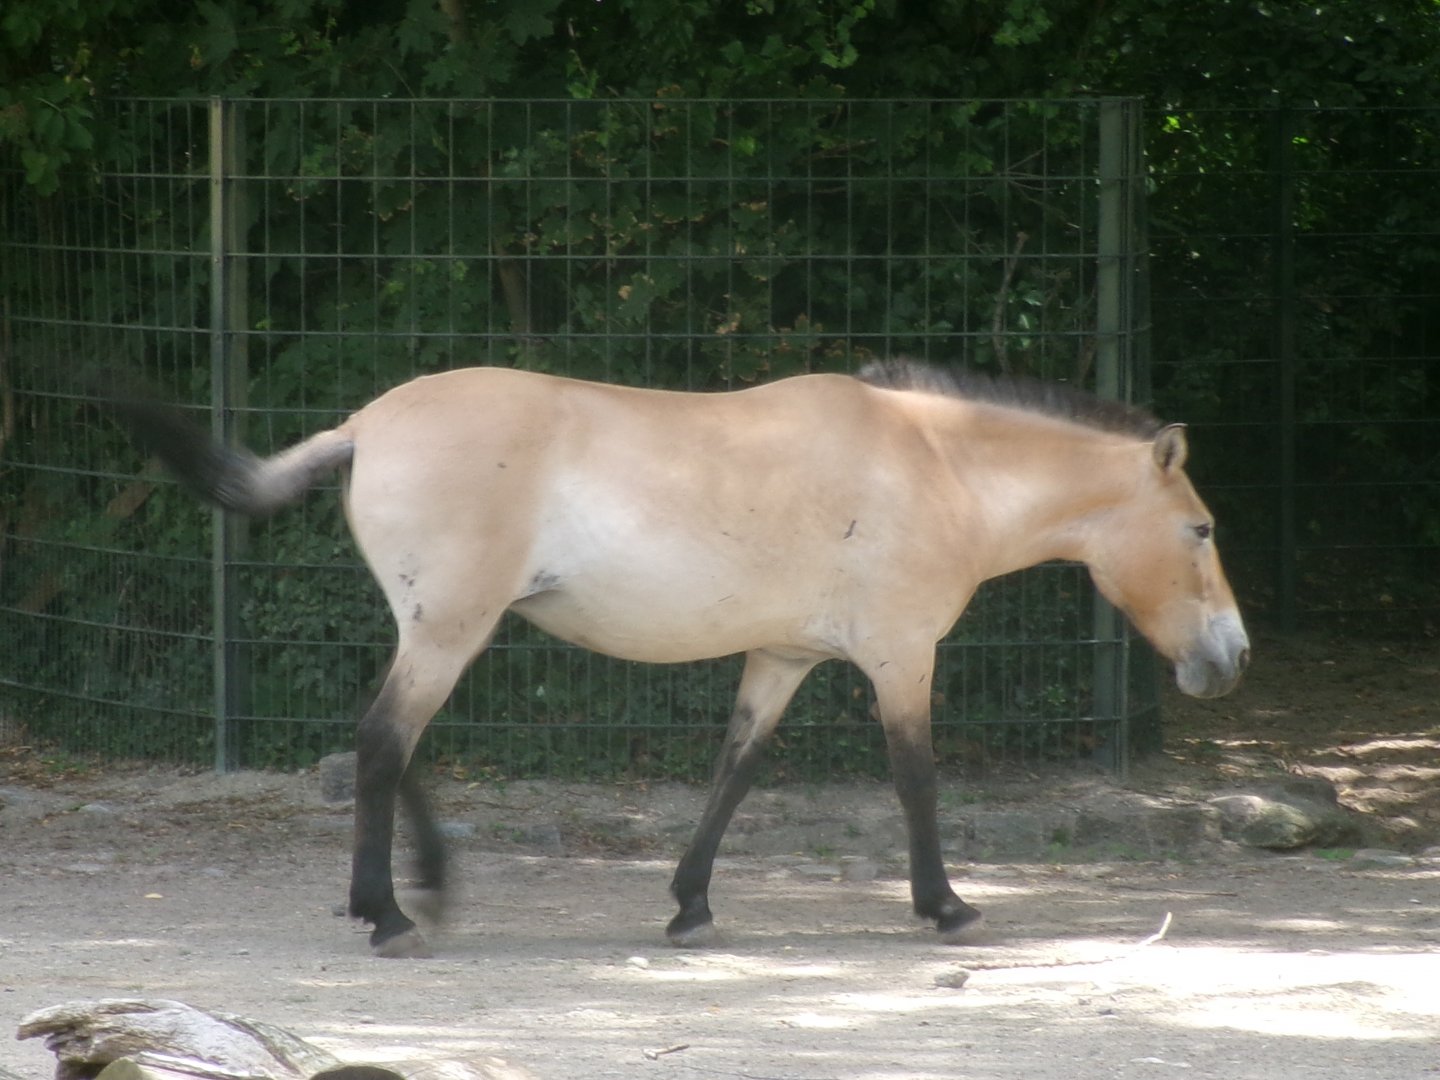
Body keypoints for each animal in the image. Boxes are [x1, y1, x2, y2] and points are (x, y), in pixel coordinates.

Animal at [115, 358, 1249, 958]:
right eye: (1200, 530)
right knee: (385, 742)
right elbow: (917, 780)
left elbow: (733, 773)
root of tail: (364, 424)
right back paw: (392, 914)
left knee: (386, 747)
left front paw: (690, 905)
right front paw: (947, 906)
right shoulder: (899, 658)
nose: (1232, 656)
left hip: (443, 628)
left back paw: (417, 892)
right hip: (450, 630)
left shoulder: (782, 658)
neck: (933, 466)